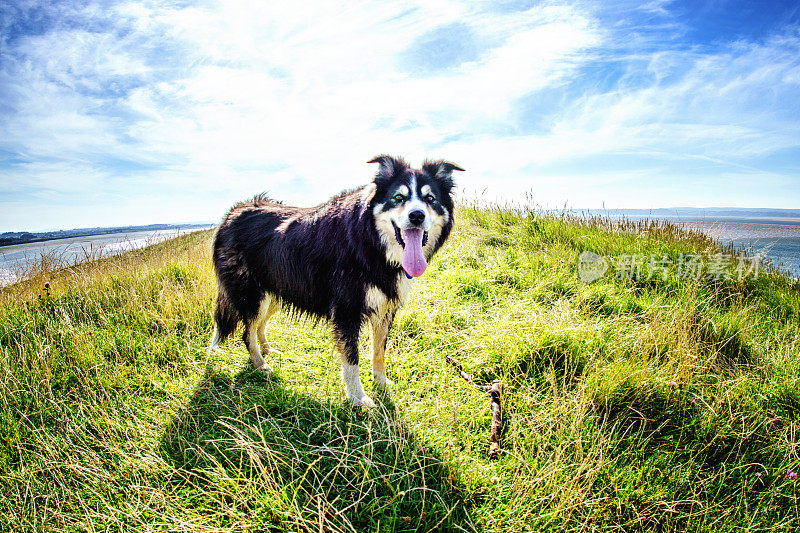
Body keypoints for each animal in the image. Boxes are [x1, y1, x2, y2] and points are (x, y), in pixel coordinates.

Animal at [209, 156, 462, 406]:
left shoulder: (385, 307)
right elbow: (352, 358)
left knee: (260, 325)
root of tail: (230, 215)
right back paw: (260, 364)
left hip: (276, 292)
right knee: (247, 332)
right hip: (252, 295)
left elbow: (379, 351)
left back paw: (268, 350)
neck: (370, 241)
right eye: (398, 197)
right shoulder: (347, 310)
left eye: (430, 199)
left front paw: (381, 383)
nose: (417, 216)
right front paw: (359, 398)